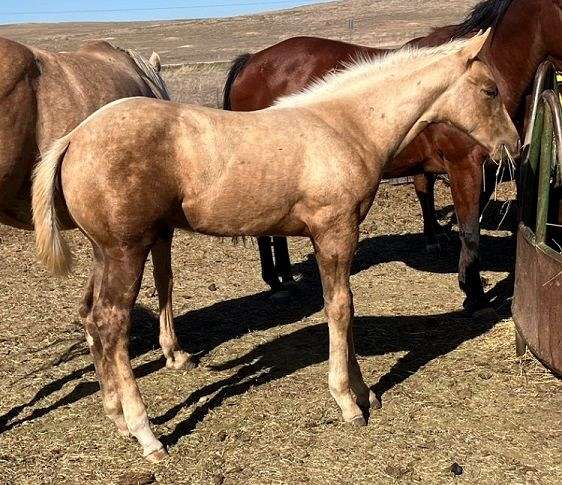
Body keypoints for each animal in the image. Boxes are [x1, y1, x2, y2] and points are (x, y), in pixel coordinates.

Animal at [31, 31, 516, 462]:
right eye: (490, 90)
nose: (511, 145)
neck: (346, 128)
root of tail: (74, 137)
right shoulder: (334, 232)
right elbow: (339, 308)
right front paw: (348, 402)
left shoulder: (336, 236)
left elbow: (347, 307)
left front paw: (366, 393)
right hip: (126, 250)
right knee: (112, 323)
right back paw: (145, 432)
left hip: (105, 251)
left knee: (91, 317)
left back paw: (116, 417)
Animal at [224, 0, 562, 312]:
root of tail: (252, 61)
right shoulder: (463, 167)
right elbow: (469, 231)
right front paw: (474, 294)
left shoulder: (488, 169)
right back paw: (277, 281)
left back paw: (282, 277)